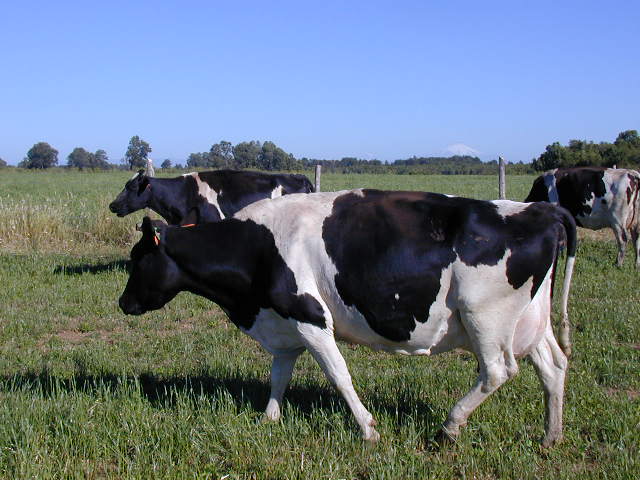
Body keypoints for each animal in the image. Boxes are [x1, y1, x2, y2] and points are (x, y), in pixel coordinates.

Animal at [118, 189, 576, 447]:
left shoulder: (310, 318)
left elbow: (339, 375)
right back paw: (551, 436)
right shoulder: (285, 323)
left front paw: (369, 430)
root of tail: (540, 209)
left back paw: (449, 427)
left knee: (498, 371)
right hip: (530, 322)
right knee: (553, 366)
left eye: (138, 259)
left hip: (485, 317)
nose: (123, 303)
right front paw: (268, 419)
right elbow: (279, 375)